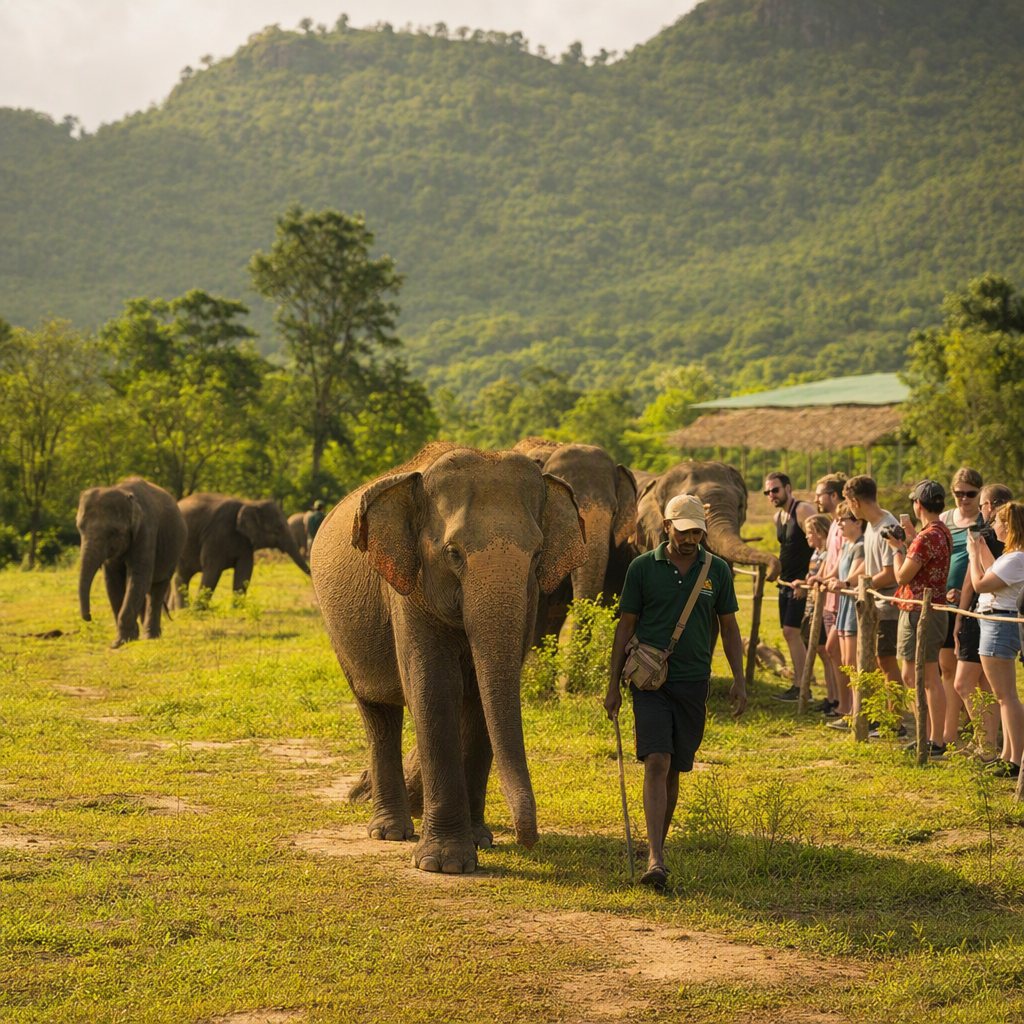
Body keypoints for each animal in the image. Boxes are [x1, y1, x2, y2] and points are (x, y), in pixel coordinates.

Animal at [76, 477, 187, 648]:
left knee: (157, 588)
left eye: (113, 532)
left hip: (174, 551)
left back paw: (150, 635)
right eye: (80, 528)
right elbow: (113, 581)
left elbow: (138, 576)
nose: (88, 617)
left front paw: (121, 642)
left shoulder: (146, 531)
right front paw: (124, 640)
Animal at [174, 493, 310, 603]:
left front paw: (237, 609)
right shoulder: (216, 534)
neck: (251, 503)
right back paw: (183, 610)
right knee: (181, 577)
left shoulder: (246, 541)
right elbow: (212, 569)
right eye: (278, 528)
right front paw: (199, 610)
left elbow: (245, 570)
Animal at [311, 442, 587, 873]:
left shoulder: (530, 600)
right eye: (453, 553)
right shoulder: (408, 591)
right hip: (339, 631)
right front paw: (444, 864)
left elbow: (477, 702)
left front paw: (480, 841)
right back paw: (389, 832)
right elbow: (434, 691)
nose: (527, 839)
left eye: (537, 553)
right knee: (378, 714)